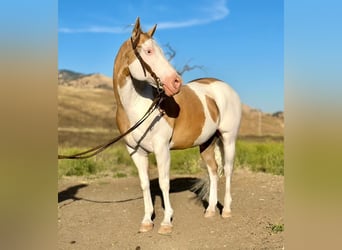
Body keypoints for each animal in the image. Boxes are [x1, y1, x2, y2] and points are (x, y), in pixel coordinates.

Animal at [112, 17, 240, 234]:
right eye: (148, 51)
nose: (176, 82)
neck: (139, 107)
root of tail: (224, 87)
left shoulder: (162, 148)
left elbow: (164, 184)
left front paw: (166, 223)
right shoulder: (135, 152)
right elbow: (145, 184)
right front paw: (147, 221)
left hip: (228, 138)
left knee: (228, 171)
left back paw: (227, 211)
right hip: (207, 143)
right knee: (214, 172)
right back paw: (210, 210)